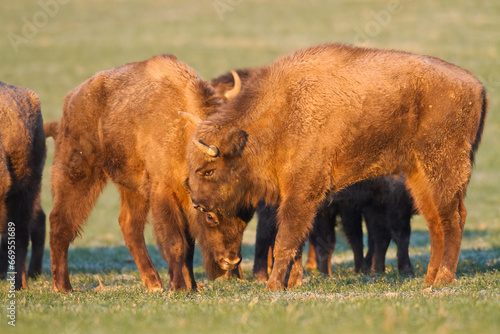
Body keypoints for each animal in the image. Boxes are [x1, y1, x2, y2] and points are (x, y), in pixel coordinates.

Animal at [47, 52, 247, 292]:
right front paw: (179, 287)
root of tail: (72, 98)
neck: (185, 138)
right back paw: (63, 287)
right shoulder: (163, 192)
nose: (231, 260)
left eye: (245, 215)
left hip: (132, 188)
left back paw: (153, 282)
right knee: (60, 221)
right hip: (79, 172)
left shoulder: (183, 200)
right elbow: (175, 243)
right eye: (210, 215)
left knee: (129, 226)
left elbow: (188, 246)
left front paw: (191, 286)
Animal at [186, 43, 486, 290]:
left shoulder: (302, 194)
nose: (197, 202)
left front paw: (273, 286)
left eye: (208, 170)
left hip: (443, 169)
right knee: (436, 223)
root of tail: (476, 86)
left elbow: (286, 241)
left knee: (452, 220)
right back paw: (429, 280)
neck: (283, 114)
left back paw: (443, 279)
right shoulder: (295, 198)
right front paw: (291, 284)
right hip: (418, 177)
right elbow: (297, 243)